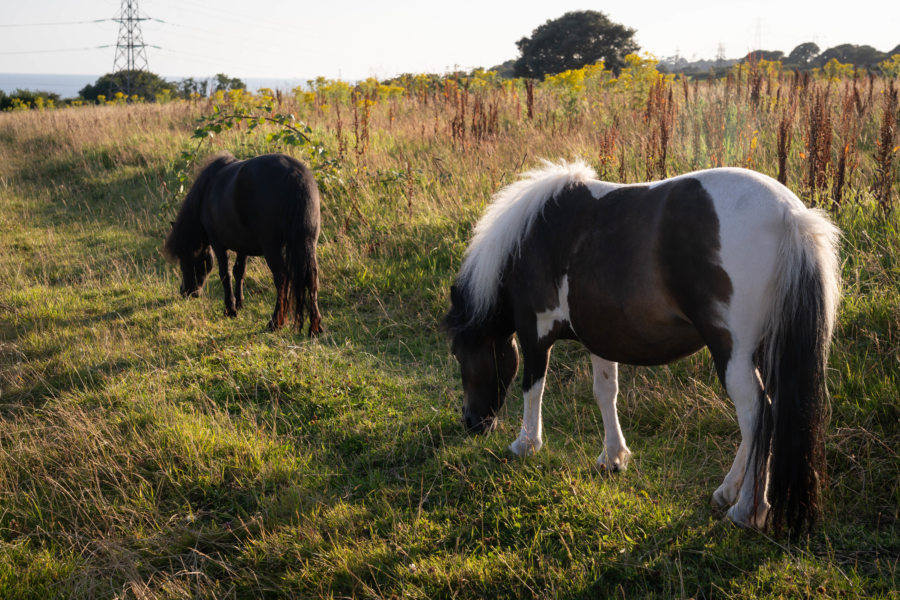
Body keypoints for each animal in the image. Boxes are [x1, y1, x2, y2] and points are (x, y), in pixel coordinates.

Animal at [164, 152, 323, 335]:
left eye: (184, 259)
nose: (185, 291)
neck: (207, 191)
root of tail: (295, 175)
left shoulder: (218, 244)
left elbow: (225, 274)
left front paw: (230, 309)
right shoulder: (242, 246)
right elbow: (239, 271)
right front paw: (239, 303)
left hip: (272, 248)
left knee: (282, 278)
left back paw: (275, 322)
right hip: (308, 243)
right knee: (312, 278)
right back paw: (315, 326)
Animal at [445, 160, 840, 534]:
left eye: (461, 352)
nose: (471, 423)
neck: (536, 236)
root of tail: (790, 215)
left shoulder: (534, 333)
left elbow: (532, 388)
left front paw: (526, 445)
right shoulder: (601, 335)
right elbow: (605, 392)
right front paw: (613, 457)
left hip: (732, 351)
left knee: (758, 415)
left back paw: (747, 511)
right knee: (765, 413)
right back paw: (728, 492)